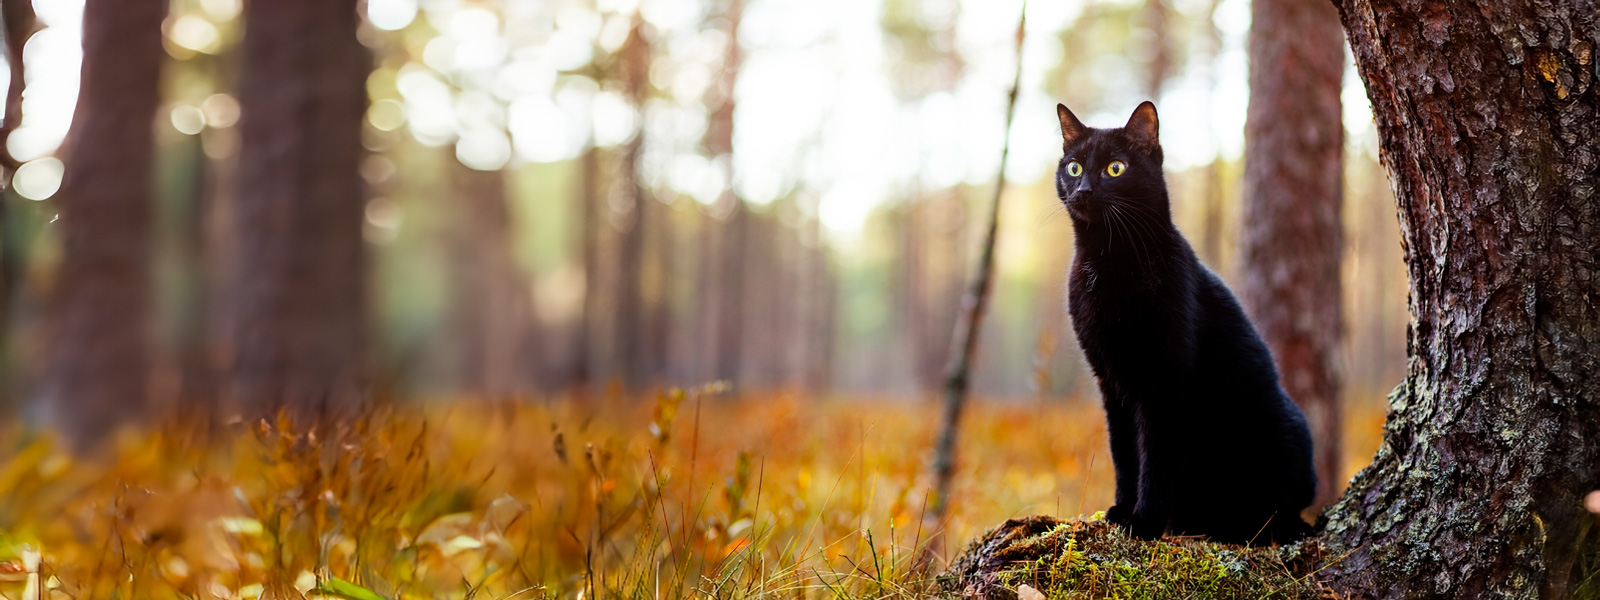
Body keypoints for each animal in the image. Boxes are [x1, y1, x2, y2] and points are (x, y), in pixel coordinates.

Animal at [1062, 100, 1312, 544]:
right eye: (1073, 168)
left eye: (1115, 168)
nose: (1083, 190)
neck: (1108, 260)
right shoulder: (1111, 381)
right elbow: (1125, 454)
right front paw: (1122, 510)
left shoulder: (1165, 380)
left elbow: (1157, 459)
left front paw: (1144, 523)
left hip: (1283, 428)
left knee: (1281, 509)